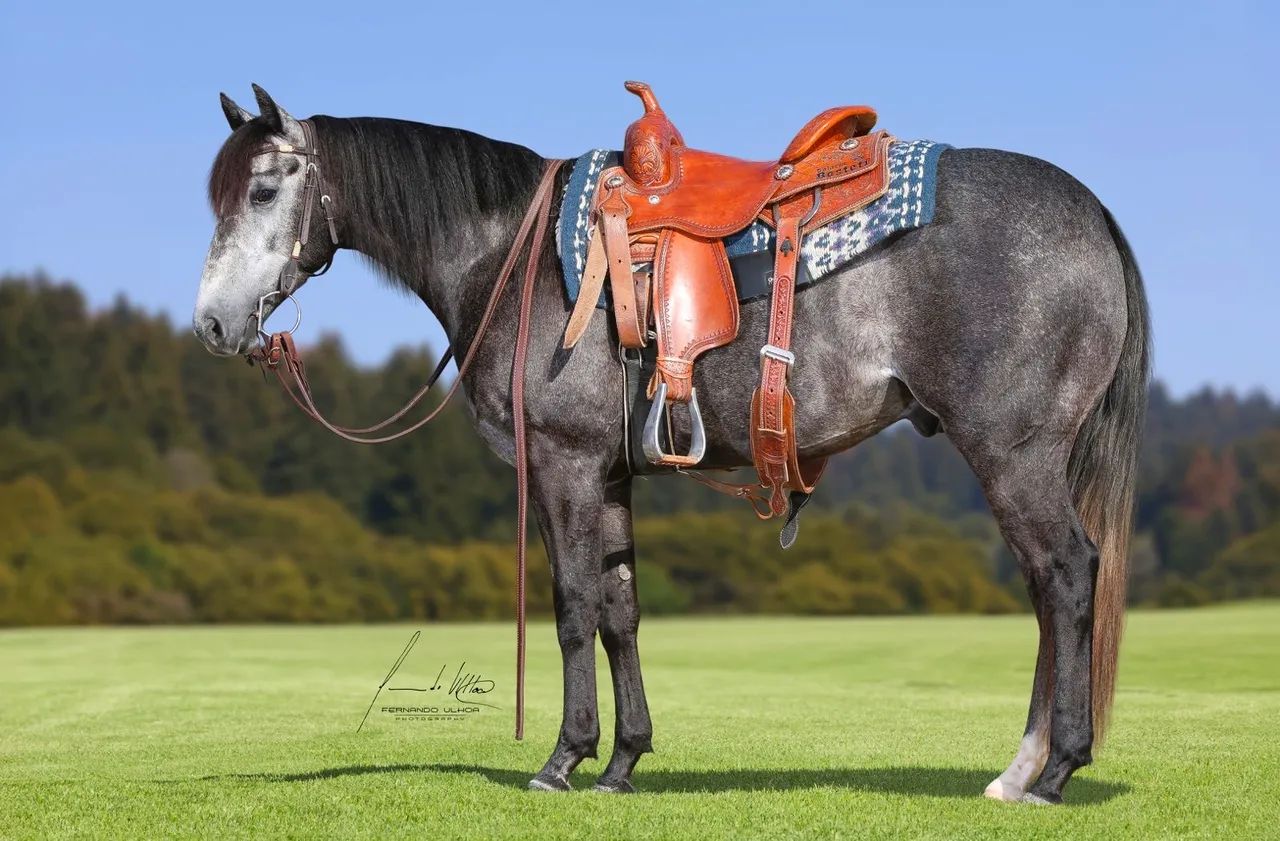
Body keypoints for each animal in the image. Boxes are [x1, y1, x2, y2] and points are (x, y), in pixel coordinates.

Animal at [193, 85, 1149, 804]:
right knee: (1047, 587)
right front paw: (623, 759)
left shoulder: (566, 465)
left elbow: (573, 606)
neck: (510, 255)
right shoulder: (611, 474)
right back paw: (1022, 768)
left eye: (264, 192)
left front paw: (564, 757)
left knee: (1065, 575)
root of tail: (1094, 212)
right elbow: (621, 610)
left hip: (1013, 452)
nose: (212, 324)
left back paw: (1052, 769)